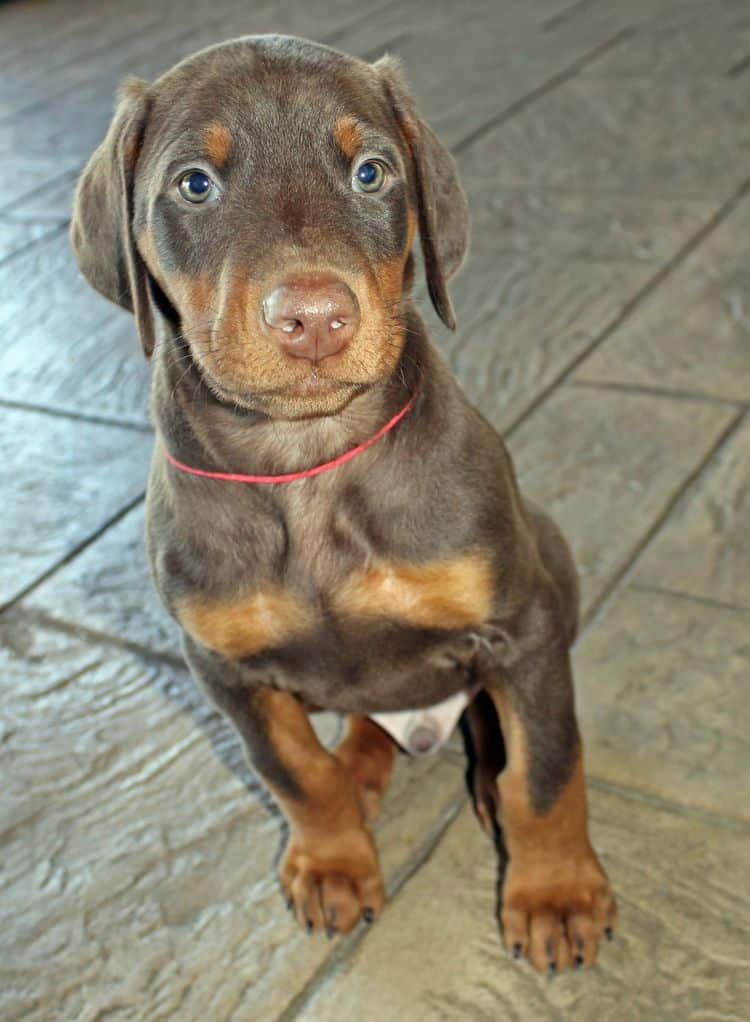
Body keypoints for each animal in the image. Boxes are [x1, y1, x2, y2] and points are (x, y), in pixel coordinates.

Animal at [72, 33, 617, 972]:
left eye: (371, 173)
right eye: (194, 184)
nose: (315, 318)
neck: (307, 465)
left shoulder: (522, 625)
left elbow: (545, 768)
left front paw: (555, 892)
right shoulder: (221, 667)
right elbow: (295, 772)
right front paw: (332, 862)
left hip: (548, 558)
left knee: (484, 723)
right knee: (365, 717)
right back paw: (367, 767)